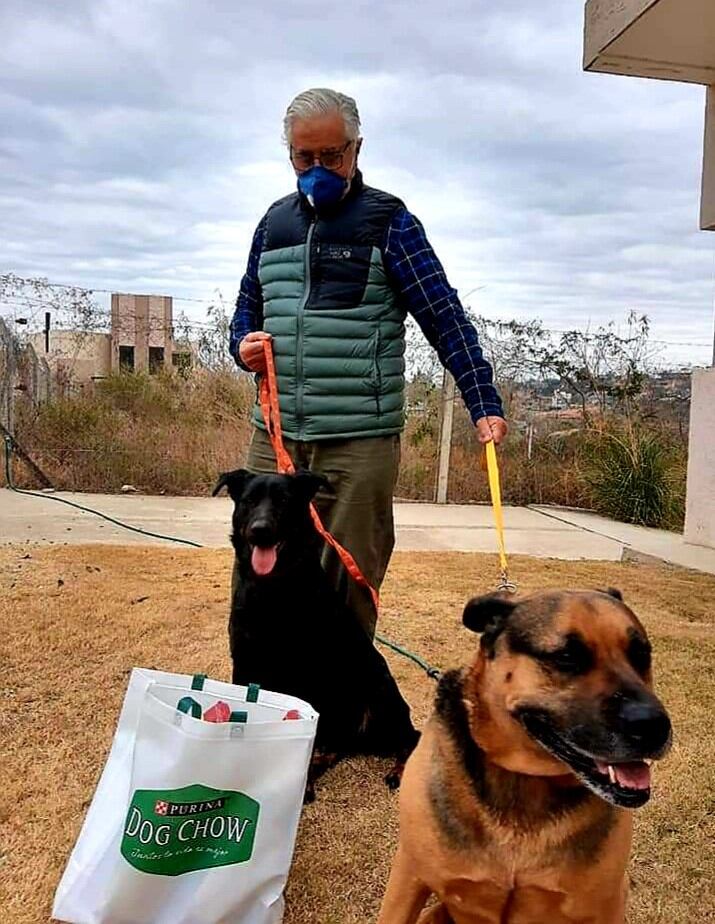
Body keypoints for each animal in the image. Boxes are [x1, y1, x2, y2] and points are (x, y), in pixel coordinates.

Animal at [213, 466, 420, 796]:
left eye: (284, 501)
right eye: (249, 501)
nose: (260, 530)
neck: (273, 588)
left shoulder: (307, 676)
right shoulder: (245, 664)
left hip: (380, 698)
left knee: (410, 739)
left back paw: (396, 771)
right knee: (339, 744)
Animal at [378, 588, 676, 920]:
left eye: (642, 655)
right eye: (567, 657)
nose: (654, 726)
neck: (524, 780)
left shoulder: (606, 903)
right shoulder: (410, 874)